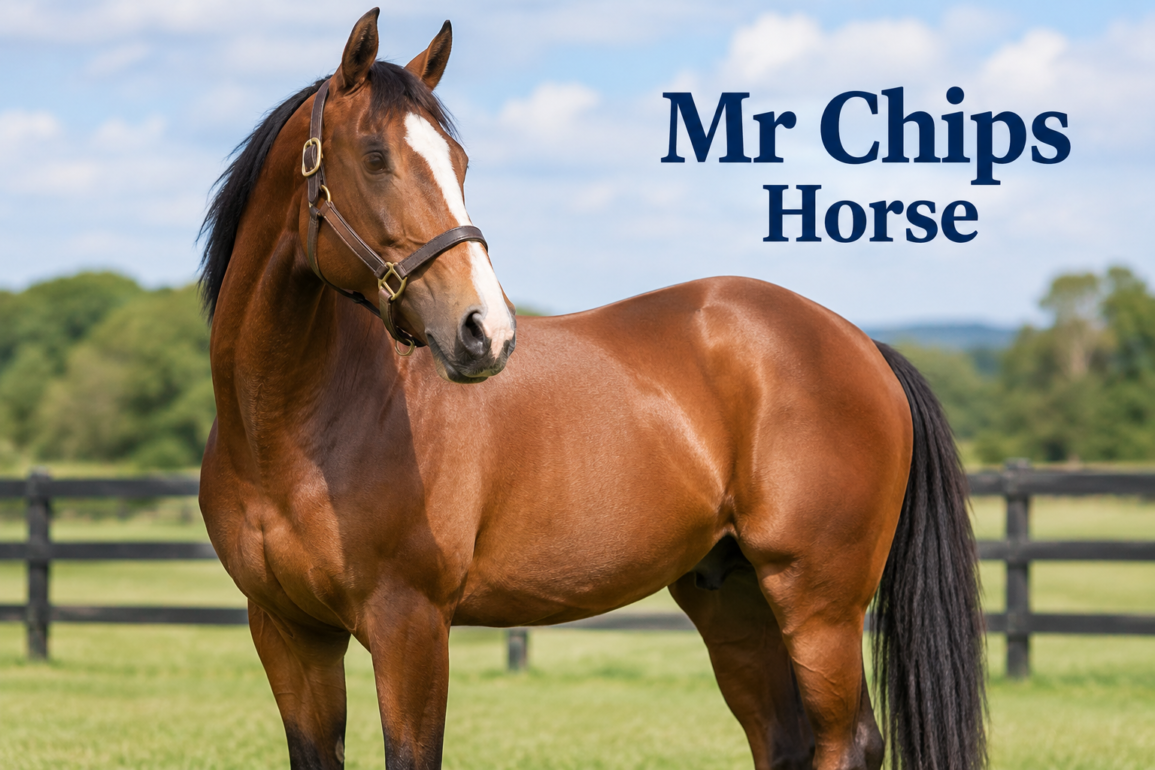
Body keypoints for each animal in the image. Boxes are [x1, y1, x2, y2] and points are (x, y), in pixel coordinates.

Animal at [197, 9, 986, 770]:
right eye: (374, 156)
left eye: (459, 162)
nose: (485, 330)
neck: (296, 428)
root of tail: (860, 343)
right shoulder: (287, 632)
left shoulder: (409, 626)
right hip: (733, 596)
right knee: (784, 740)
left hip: (817, 603)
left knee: (847, 743)